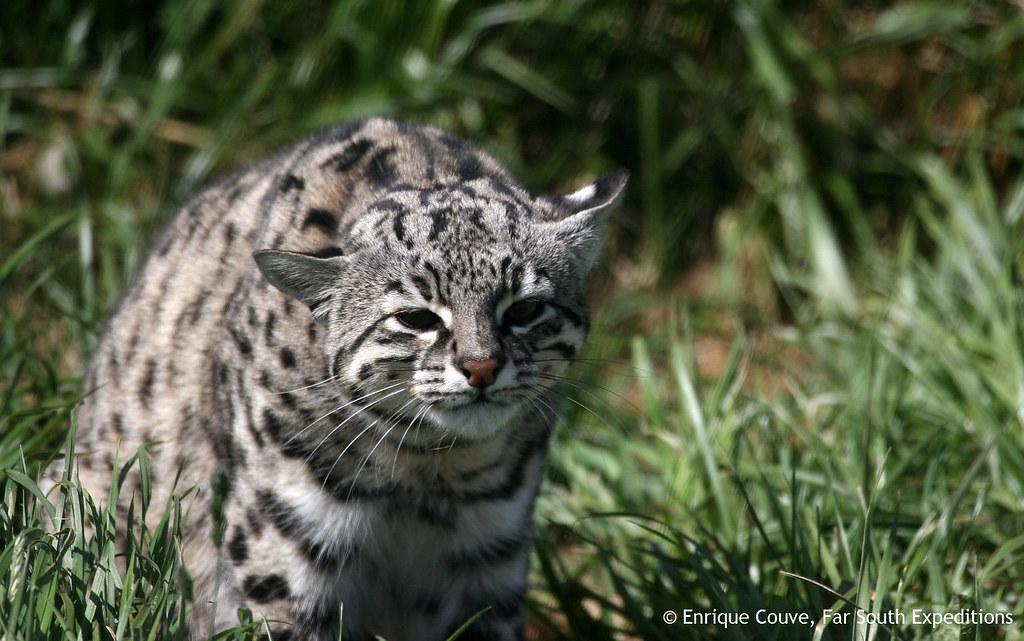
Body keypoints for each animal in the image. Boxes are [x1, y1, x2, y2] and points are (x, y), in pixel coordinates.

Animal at [51, 117, 626, 634]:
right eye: (416, 318)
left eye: (525, 309)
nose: (482, 367)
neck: (427, 466)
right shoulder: (285, 548)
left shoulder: (492, 547)